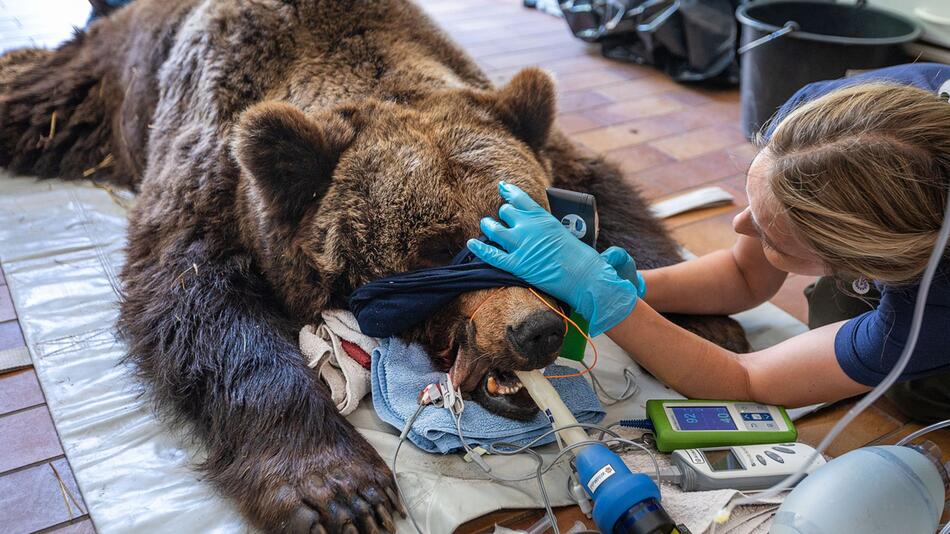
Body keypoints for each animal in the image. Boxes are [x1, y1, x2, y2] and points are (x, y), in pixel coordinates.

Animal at [0, 2, 748, 532]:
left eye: (526, 217)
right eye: (439, 247)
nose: (533, 331)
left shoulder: (540, 141)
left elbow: (612, 200)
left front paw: (709, 322)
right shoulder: (212, 183)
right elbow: (201, 311)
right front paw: (337, 490)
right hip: (114, 76)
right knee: (41, 96)